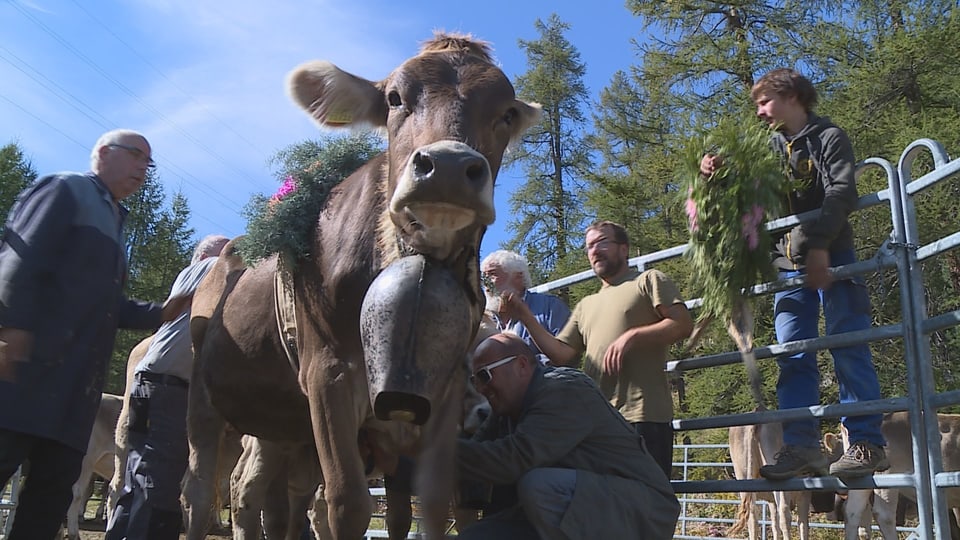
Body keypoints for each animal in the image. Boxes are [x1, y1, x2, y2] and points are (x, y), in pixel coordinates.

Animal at [182, 33, 540, 540]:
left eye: (506, 112)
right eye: (394, 97)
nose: (448, 167)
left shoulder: (442, 388)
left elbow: (430, 502)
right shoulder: (327, 373)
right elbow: (348, 502)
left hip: (281, 426)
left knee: (269, 493)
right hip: (206, 399)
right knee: (200, 487)